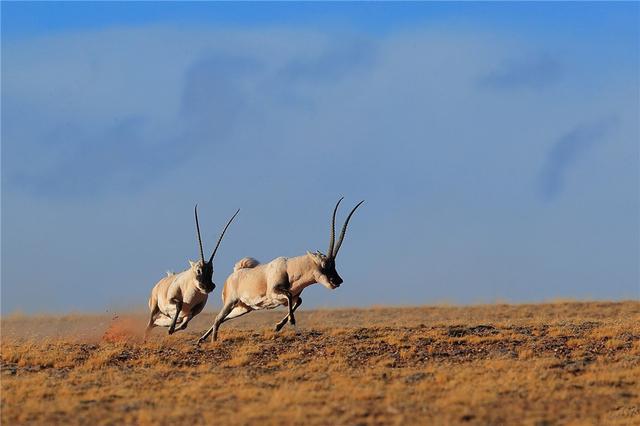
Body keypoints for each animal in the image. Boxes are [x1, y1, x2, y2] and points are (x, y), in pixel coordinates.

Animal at [145, 206, 240, 340]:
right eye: (198, 270)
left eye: (212, 270)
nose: (208, 286)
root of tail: (159, 284)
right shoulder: (171, 299)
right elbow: (179, 304)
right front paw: (171, 329)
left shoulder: (195, 310)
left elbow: (185, 324)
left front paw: (172, 329)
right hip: (155, 307)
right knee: (150, 323)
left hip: (165, 315)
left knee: (158, 322)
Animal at [198, 197, 362, 342]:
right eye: (324, 266)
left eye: (334, 265)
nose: (338, 281)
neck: (290, 268)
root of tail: (234, 273)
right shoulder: (274, 293)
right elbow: (289, 295)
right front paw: (290, 322)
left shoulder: (292, 297)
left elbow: (298, 301)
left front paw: (278, 326)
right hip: (231, 302)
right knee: (218, 318)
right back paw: (212, 341)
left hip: (243, 308)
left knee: (221, 319)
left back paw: (202, 339)